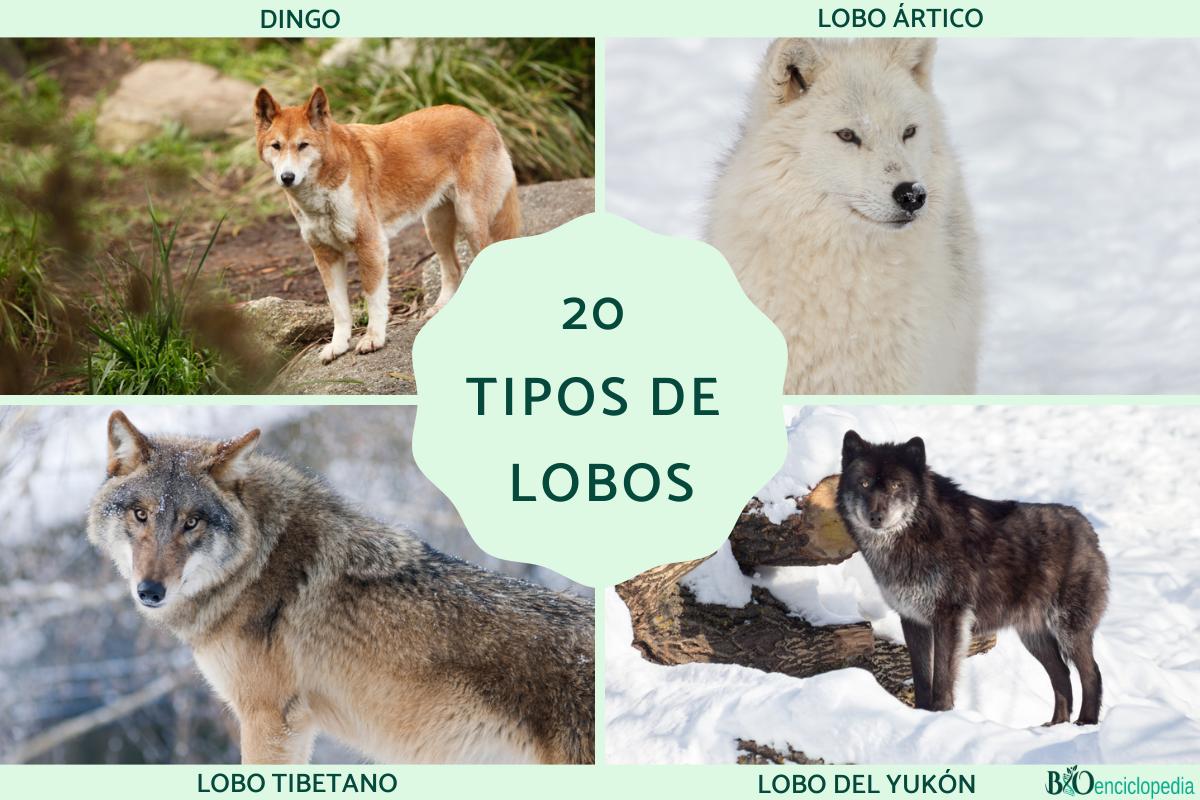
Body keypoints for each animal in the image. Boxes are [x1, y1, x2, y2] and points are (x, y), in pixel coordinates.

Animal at [254, 86, 521, 363]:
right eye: (276, 146)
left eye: (303, 145)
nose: (287, 177)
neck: (322, 194)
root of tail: (482, 118)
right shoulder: (326, 255)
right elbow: (338, 308)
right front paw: (338, 345)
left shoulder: (371, 245)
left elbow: (373, 300)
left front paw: (373, 338)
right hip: (435, 226)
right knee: (454, 269)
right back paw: (440, 307)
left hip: (470, 220)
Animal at [835, 430, 1108, 725]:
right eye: (864, 483)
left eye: (896, 485)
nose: (876, 517)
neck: (918, 533)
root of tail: (1088, 527)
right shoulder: (912, 619)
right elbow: (922, 678)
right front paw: (921, 715)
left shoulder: (949, 617)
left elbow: (942, 677)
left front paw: (940, 714)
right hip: (1033, 636)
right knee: (1062, 674)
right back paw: (1056, 725)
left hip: (1068, 629)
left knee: (1091, 673)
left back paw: (1085, 722)